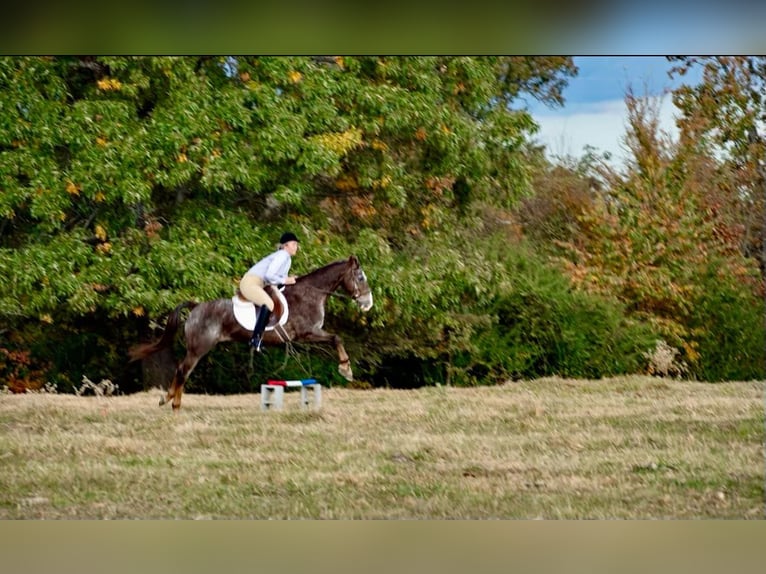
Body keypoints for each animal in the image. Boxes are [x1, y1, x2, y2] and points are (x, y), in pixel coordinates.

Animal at [128, 255, 373, 411]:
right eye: (360, 277)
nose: (368, 303)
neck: (311, 293)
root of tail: (197, 306)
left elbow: (335, 338)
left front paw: (346, 369)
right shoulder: (307, 333)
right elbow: (336, 338)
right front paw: (346, 370)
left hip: (199, 348)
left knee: (184, 371)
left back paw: (173, 402)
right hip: (199, 347)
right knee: (182, 370)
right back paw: (170, 401)